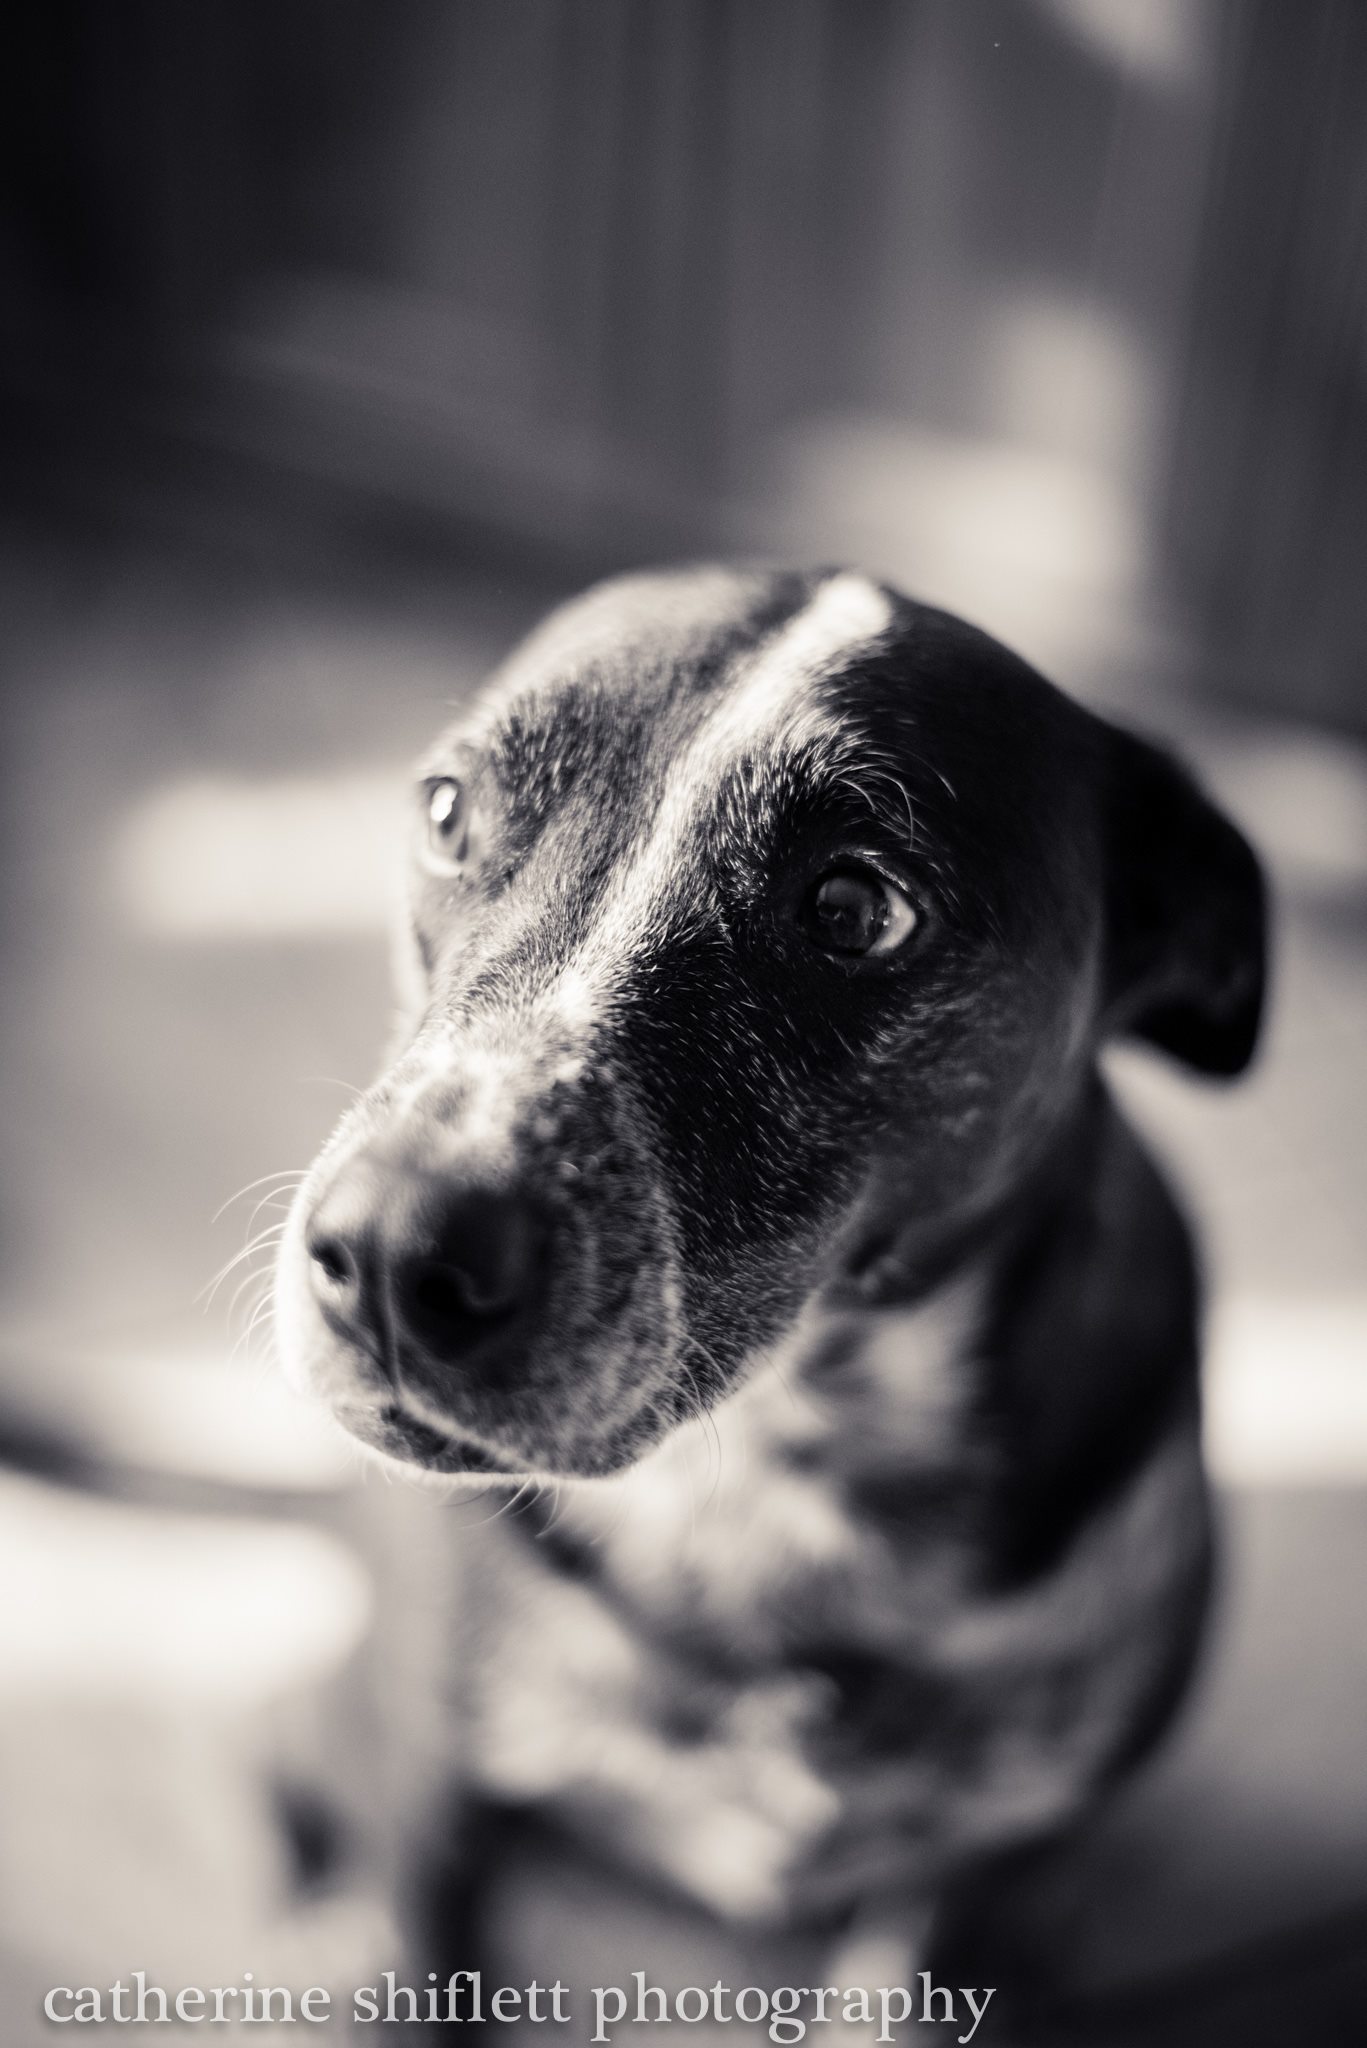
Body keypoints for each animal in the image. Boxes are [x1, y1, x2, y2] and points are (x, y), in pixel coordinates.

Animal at [272, 561, 1270, 2015]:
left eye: (853, 910)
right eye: (449, 813)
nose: (390, 1251)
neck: (770, 1465)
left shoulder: (971, 1883)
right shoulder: (429, 1778)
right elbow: (415, 1949)